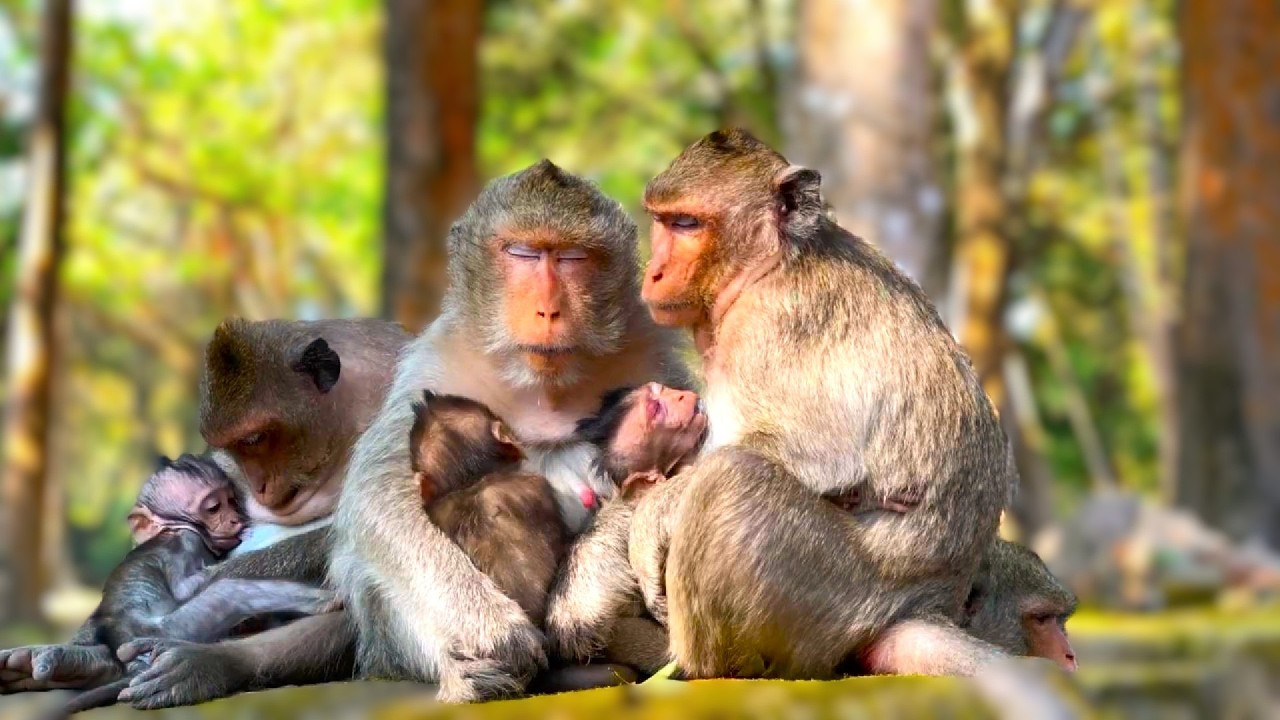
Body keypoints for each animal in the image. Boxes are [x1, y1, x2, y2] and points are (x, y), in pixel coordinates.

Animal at [54, 455, 337, 716]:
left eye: (232, 501)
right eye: (214, 507)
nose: (235, 520)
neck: (173, 527)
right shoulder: (188, 540)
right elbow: (183, 589)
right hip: (173, 629)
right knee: (231, 592)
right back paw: (322, 602)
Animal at [629, 128, 1016, 680]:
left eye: (686, 224)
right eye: (661, 219)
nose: (655, 271)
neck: (767, 265)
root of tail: (929, 601)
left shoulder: (770, 325)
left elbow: (820, 455)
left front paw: (650, 517)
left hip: (829, 595)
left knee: (731, 478)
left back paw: (708, 668)